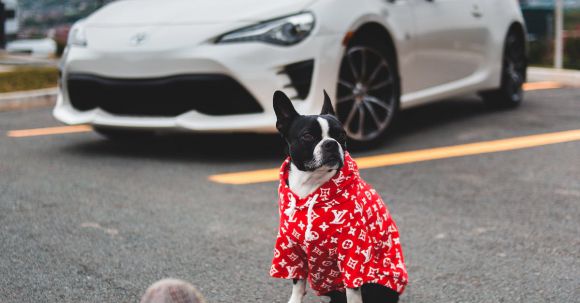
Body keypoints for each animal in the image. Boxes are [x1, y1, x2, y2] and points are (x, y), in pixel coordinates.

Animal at [268, 91, 408, 303]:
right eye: (308, 136)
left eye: (341, 135)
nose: (331, 143)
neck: (311, 184)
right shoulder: (291, 249)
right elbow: (297, 283)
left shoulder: (352, 250)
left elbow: (353, 290)